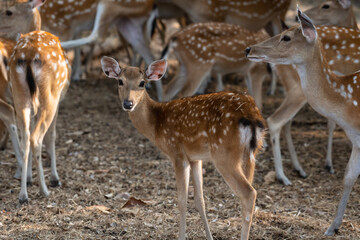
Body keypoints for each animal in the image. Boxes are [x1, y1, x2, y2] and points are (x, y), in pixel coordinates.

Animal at [100, 56, 266, 240]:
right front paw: (209, 237)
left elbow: (181, 200)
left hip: (224, 154)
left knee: (249, 193)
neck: (156, 124)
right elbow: (200, 200)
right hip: (250, 154)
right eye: (120, 81)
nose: (128, 103)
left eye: (142, 83)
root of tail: (252, 116)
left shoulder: (177, 153)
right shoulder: (195, 158)